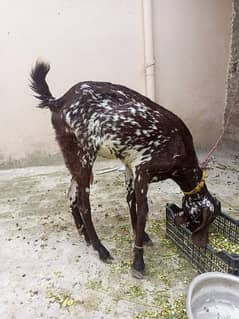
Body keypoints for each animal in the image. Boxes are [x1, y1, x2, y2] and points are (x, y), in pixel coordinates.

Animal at [30, 61, 221, 278]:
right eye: (202, 221)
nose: (202, 245)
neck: (179, 147)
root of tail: (59, 100)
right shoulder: (142, 171)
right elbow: (143, 211)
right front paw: (138, 262)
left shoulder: (130, 169)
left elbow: (131, 204)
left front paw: (142, 236)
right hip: (86, 156)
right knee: (84, 204)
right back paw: (100, 248)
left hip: (75, 160)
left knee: (71, 195)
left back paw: (85, 235)